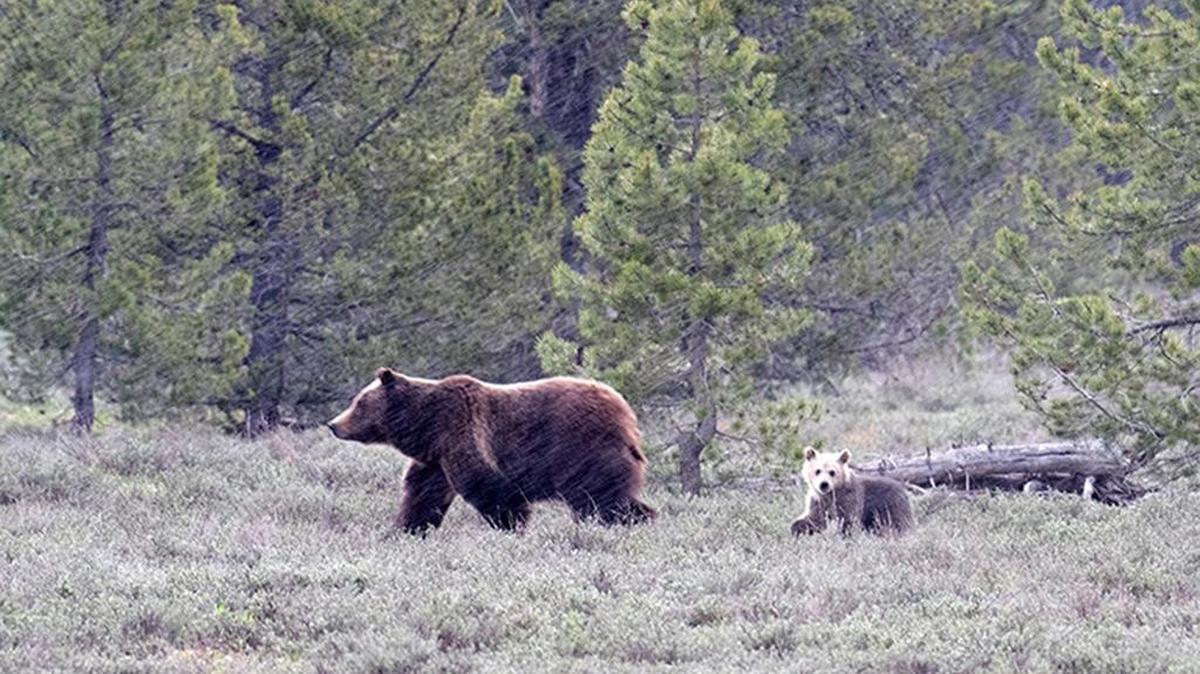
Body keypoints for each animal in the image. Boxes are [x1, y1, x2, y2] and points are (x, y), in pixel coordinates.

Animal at [327, 368, 656, 534]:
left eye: (358, 402)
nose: (333, 424)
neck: (427, 425)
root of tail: (625, 412)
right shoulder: (436, 458)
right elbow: (423, 492)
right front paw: (407, 527)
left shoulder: (463, 430)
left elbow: (489, 487)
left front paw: (511, 525)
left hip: (582, 450)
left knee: (600, 498)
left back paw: (626, 522)